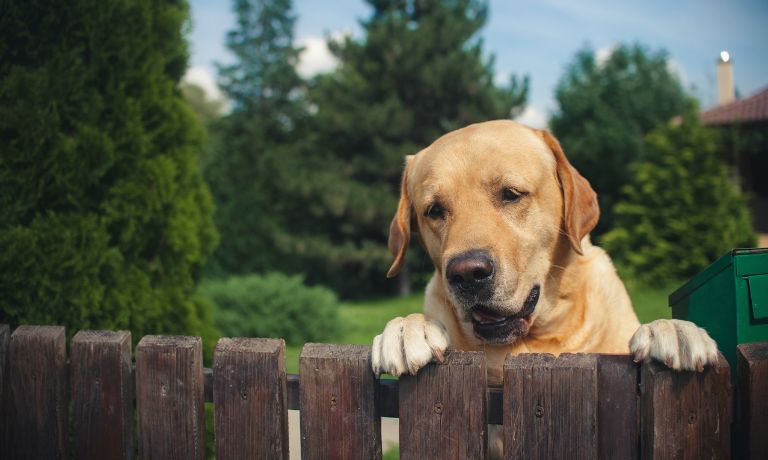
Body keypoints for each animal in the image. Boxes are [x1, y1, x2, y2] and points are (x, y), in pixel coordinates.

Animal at [372, 120, 720, 386]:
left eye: (511, 194)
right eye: (434, 210)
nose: (467, 273)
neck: (540, 337)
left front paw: (673, 329)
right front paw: (408, 327)